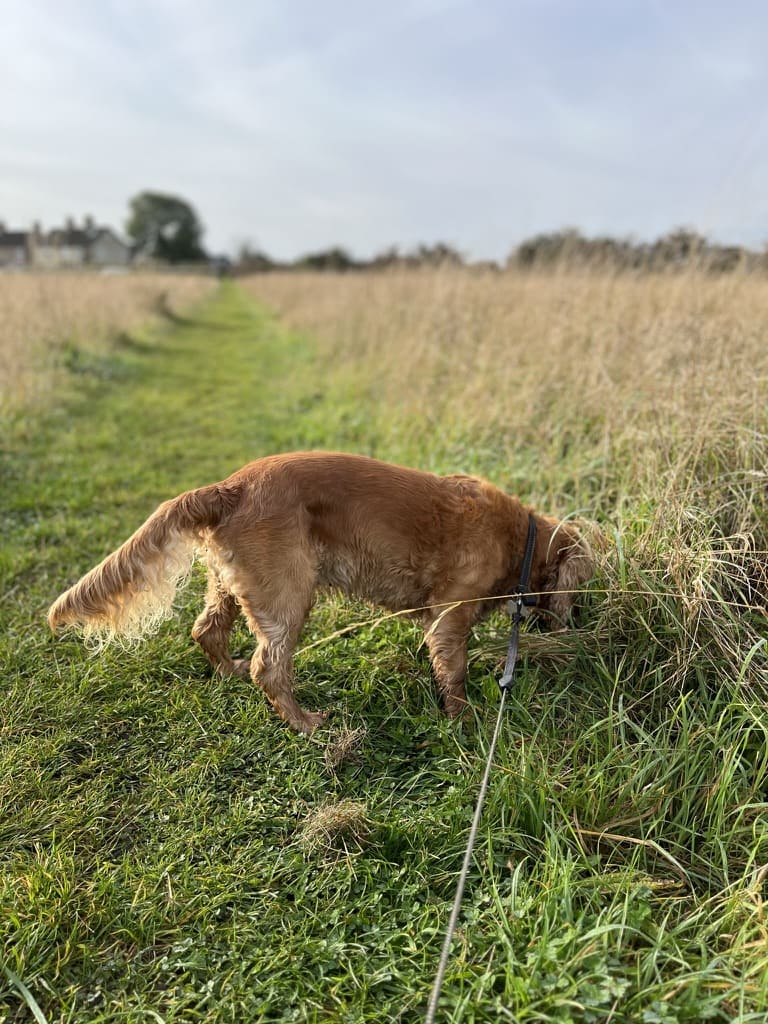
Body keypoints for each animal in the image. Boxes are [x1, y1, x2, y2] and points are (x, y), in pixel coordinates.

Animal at [48, 451, 594, 733]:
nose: (578, 628)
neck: (519, 541)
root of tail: (228, 487)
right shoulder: (450, 617)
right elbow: (455, 673)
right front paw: (465, 719)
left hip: (229, 586)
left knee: (206, 631)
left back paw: (228, 672)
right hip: (288, 594)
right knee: (269, 668)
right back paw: (306, 723)